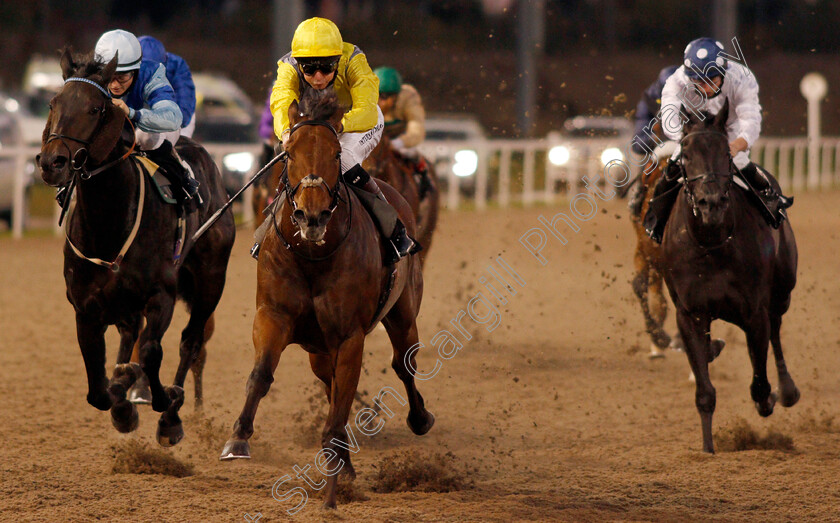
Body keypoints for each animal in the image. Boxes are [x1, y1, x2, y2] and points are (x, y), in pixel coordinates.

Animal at [38, 49, 236, 448]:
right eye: (53, 103)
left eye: (95, 109)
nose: (53, 163)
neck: (110, 224)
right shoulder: (86, 308)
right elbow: (97, 387)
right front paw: (122, 397)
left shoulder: (161, 294)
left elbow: (151, 351)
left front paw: (164, 403)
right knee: (131, 333)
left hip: (211, 279)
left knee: (190, 343)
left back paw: (171, 409)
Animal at [656, 99, 800, 454]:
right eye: (685, 154)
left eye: (725, 152)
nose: (711, 202)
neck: (712, 243)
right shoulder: (690, 313)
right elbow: (705, 392)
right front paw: (708, 448)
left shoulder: (754, 313)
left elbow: (760, 385)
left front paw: (771, 396)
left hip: (783, 290)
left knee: (777, 330)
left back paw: (787, 389)